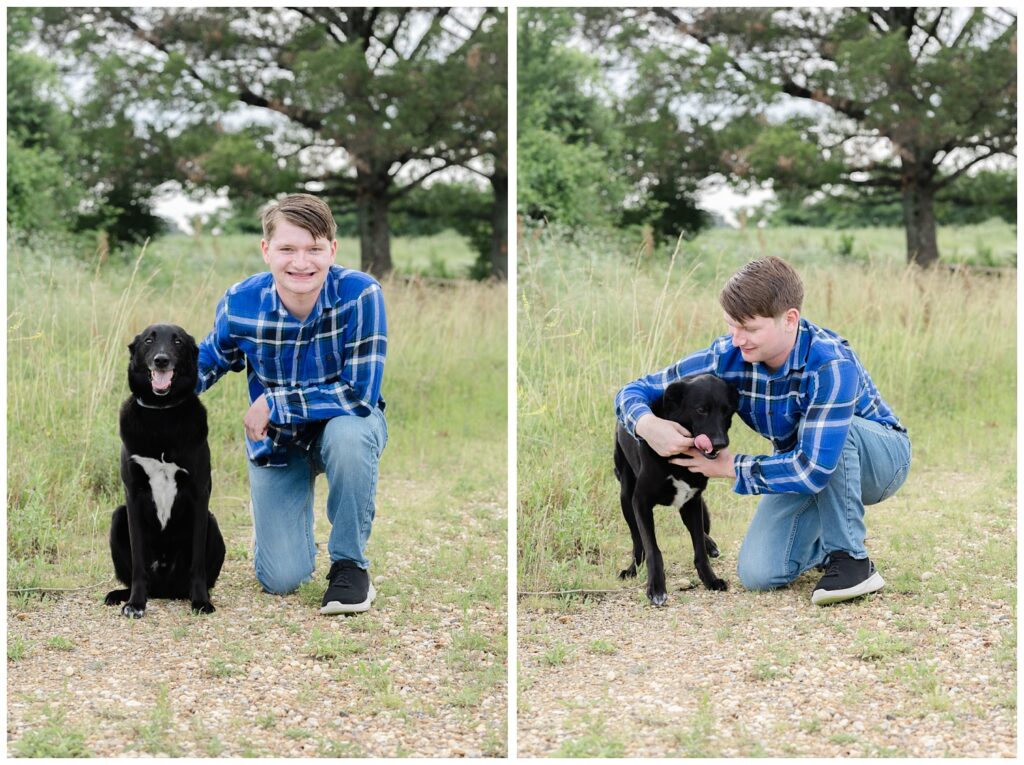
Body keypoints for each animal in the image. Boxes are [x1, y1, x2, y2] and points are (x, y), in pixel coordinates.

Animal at [103, 321, 224, 614]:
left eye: (177, 341)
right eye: (149, 340)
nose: (161, 360)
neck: (161, 413)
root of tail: (165, 589)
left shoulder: (200, 493)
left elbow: (197, 563)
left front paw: (201, 601)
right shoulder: (133, 495)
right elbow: (138, 561)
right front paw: (136, 603)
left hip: (213, 523)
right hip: (117, 517)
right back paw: (120, 595)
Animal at [614, 374, 737, 606]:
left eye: (727, 411)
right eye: (701, 409)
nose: (720, 444)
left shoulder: (692, 501)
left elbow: (699, 548)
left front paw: (710, 579)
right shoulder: (641, 502)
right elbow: (652, 549)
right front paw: (656, 588)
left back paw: (710, 544)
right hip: (626, 498)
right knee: (637, 542)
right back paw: (632, 569)